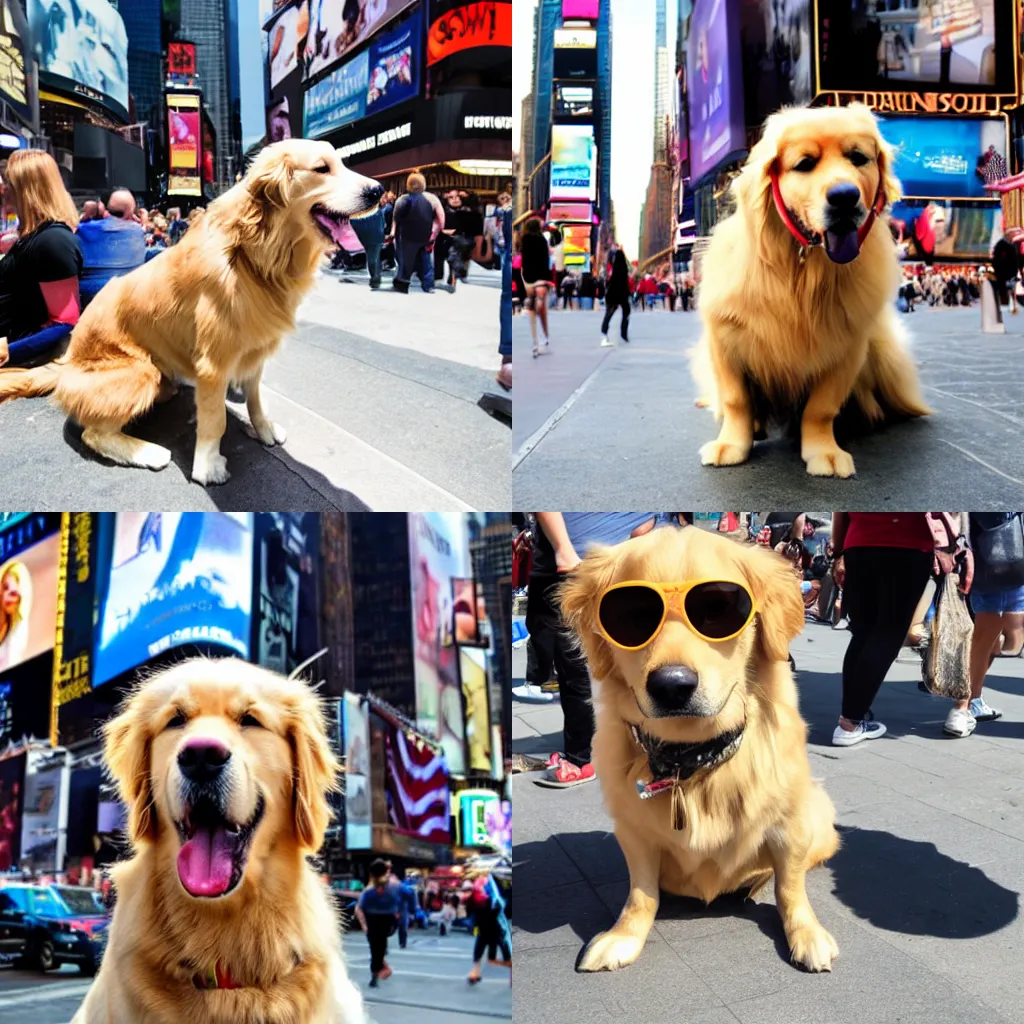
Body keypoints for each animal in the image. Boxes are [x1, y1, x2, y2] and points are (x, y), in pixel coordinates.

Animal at [0, 140, 382, 487]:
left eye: (341, 164)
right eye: (322, 168)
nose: (378, 191)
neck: (253, 256)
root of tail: (65, 365)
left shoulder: (256, 352)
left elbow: (257, 398)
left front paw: (263, 428)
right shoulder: (214, 363)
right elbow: (216, 419)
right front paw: (208, 466)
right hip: (140, 371)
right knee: (92, 433)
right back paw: (146, 451)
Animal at [561, 528, 839, 974]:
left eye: (718, 609)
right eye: (631, 614)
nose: (672, 685)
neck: (689, 756)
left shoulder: (788, 825)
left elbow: (790, 887)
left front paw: (806, 932)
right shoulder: (633, 832)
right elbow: (642, 894)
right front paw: (624, 936)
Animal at [692, 101, 933, 477]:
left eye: (858, 158)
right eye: (805, 163)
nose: (844, 197)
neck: (803, 270)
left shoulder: (846, 349)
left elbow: (820, 408)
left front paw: (824, 450)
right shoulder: (724, 338)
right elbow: (736, 400)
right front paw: (732, 445)